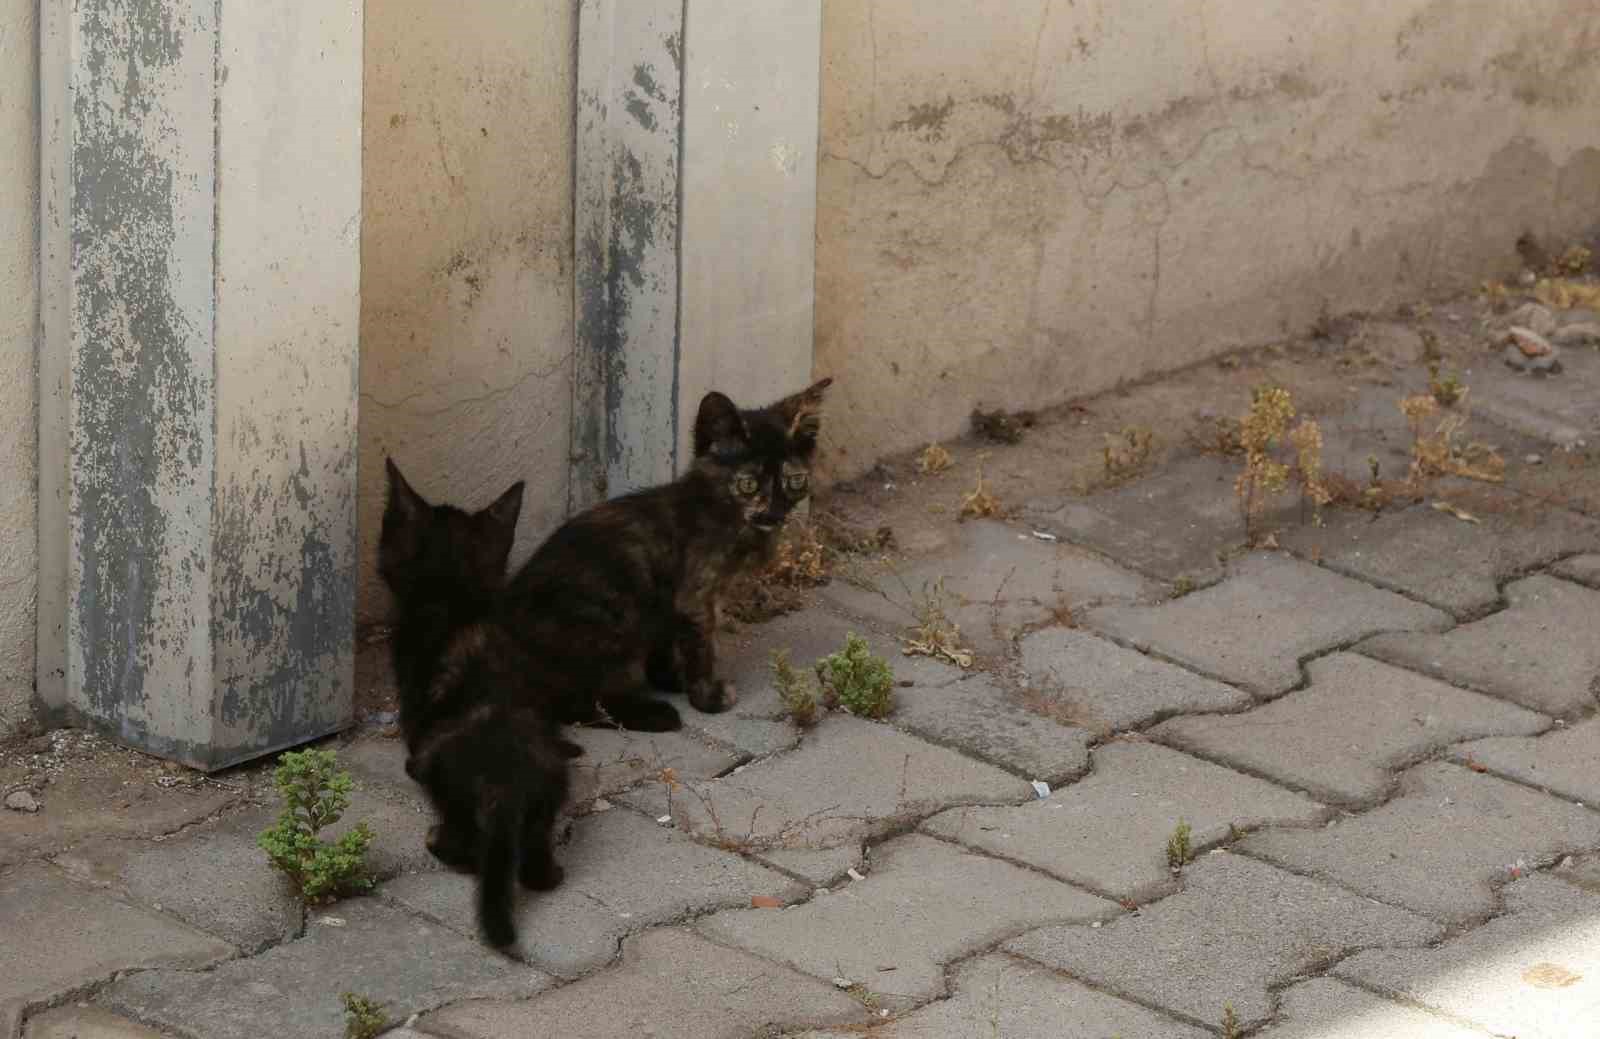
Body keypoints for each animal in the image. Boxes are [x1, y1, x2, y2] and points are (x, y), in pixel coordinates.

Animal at [377, 461, 579, 947]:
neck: (456, 595)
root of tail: (504, 785)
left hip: (446, 782)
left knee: (467, 851)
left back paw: (436, 840)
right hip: (547, 800)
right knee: (535, 869)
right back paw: (551, 872)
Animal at [502, 374, 838, 730]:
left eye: (795, 482)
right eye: (748, 485)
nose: (774, 514)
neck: (721, 512)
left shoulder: (667, 603)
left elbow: (666, 643)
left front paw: (672, 679)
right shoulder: (695, 595)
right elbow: (702, 647)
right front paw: (707, 696)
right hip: (611, 618)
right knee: (571, 703)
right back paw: (654, 715)